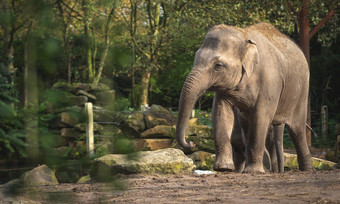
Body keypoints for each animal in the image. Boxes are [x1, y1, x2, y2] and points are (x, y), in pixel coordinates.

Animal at [177, 23, 312, 173]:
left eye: (218, 65)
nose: (191, 143)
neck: (243, 35)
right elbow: (221, 113)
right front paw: (223, 168)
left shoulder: (270, 82)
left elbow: (260, 117)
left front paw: (254, 171)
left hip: (301, 92)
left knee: (297, 131)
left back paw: (307, 170)